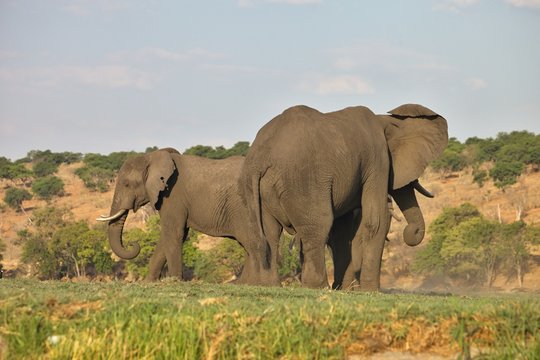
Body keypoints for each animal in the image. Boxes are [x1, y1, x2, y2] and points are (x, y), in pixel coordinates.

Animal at [97, 148, 276, 286]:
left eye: (127, 184)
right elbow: (171, 237)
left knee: (252, 244)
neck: (152, 158)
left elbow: (173, 233)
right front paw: (149, 282)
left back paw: (255, 284)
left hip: (244, 209)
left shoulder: (173, 196)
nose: (133, 244)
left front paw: (175, 281)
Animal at [239, 103, 448, 290]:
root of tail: (259, 158)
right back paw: (318, 287)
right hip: (303, 182)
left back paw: (270, 285)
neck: (386, 120)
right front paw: (370, 291)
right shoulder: (377, 160)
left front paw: (345, 288)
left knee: (270, 233)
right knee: (319, 225)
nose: (410, 231)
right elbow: (375, 220)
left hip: (257, 191)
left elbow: (343, 231)